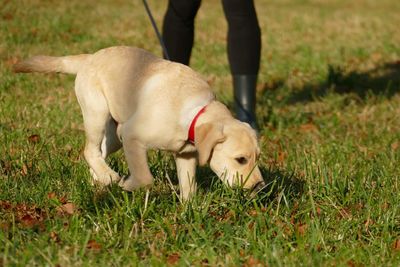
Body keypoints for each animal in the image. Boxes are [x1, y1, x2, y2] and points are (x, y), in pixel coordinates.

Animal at [14, 46, 266, 201]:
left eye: (256, 158)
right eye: (240, 159)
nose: (259, 187)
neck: (193, 112)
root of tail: (90, 57)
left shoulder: (185, 154)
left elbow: (189, 185)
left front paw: (189, 210)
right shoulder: (132, 135)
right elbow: (144, 177)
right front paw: (127, 184)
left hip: (114, 134)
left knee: (98, 153)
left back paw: (99, 181)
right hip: (98, 114)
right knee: (89, 150)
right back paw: (110, 178)